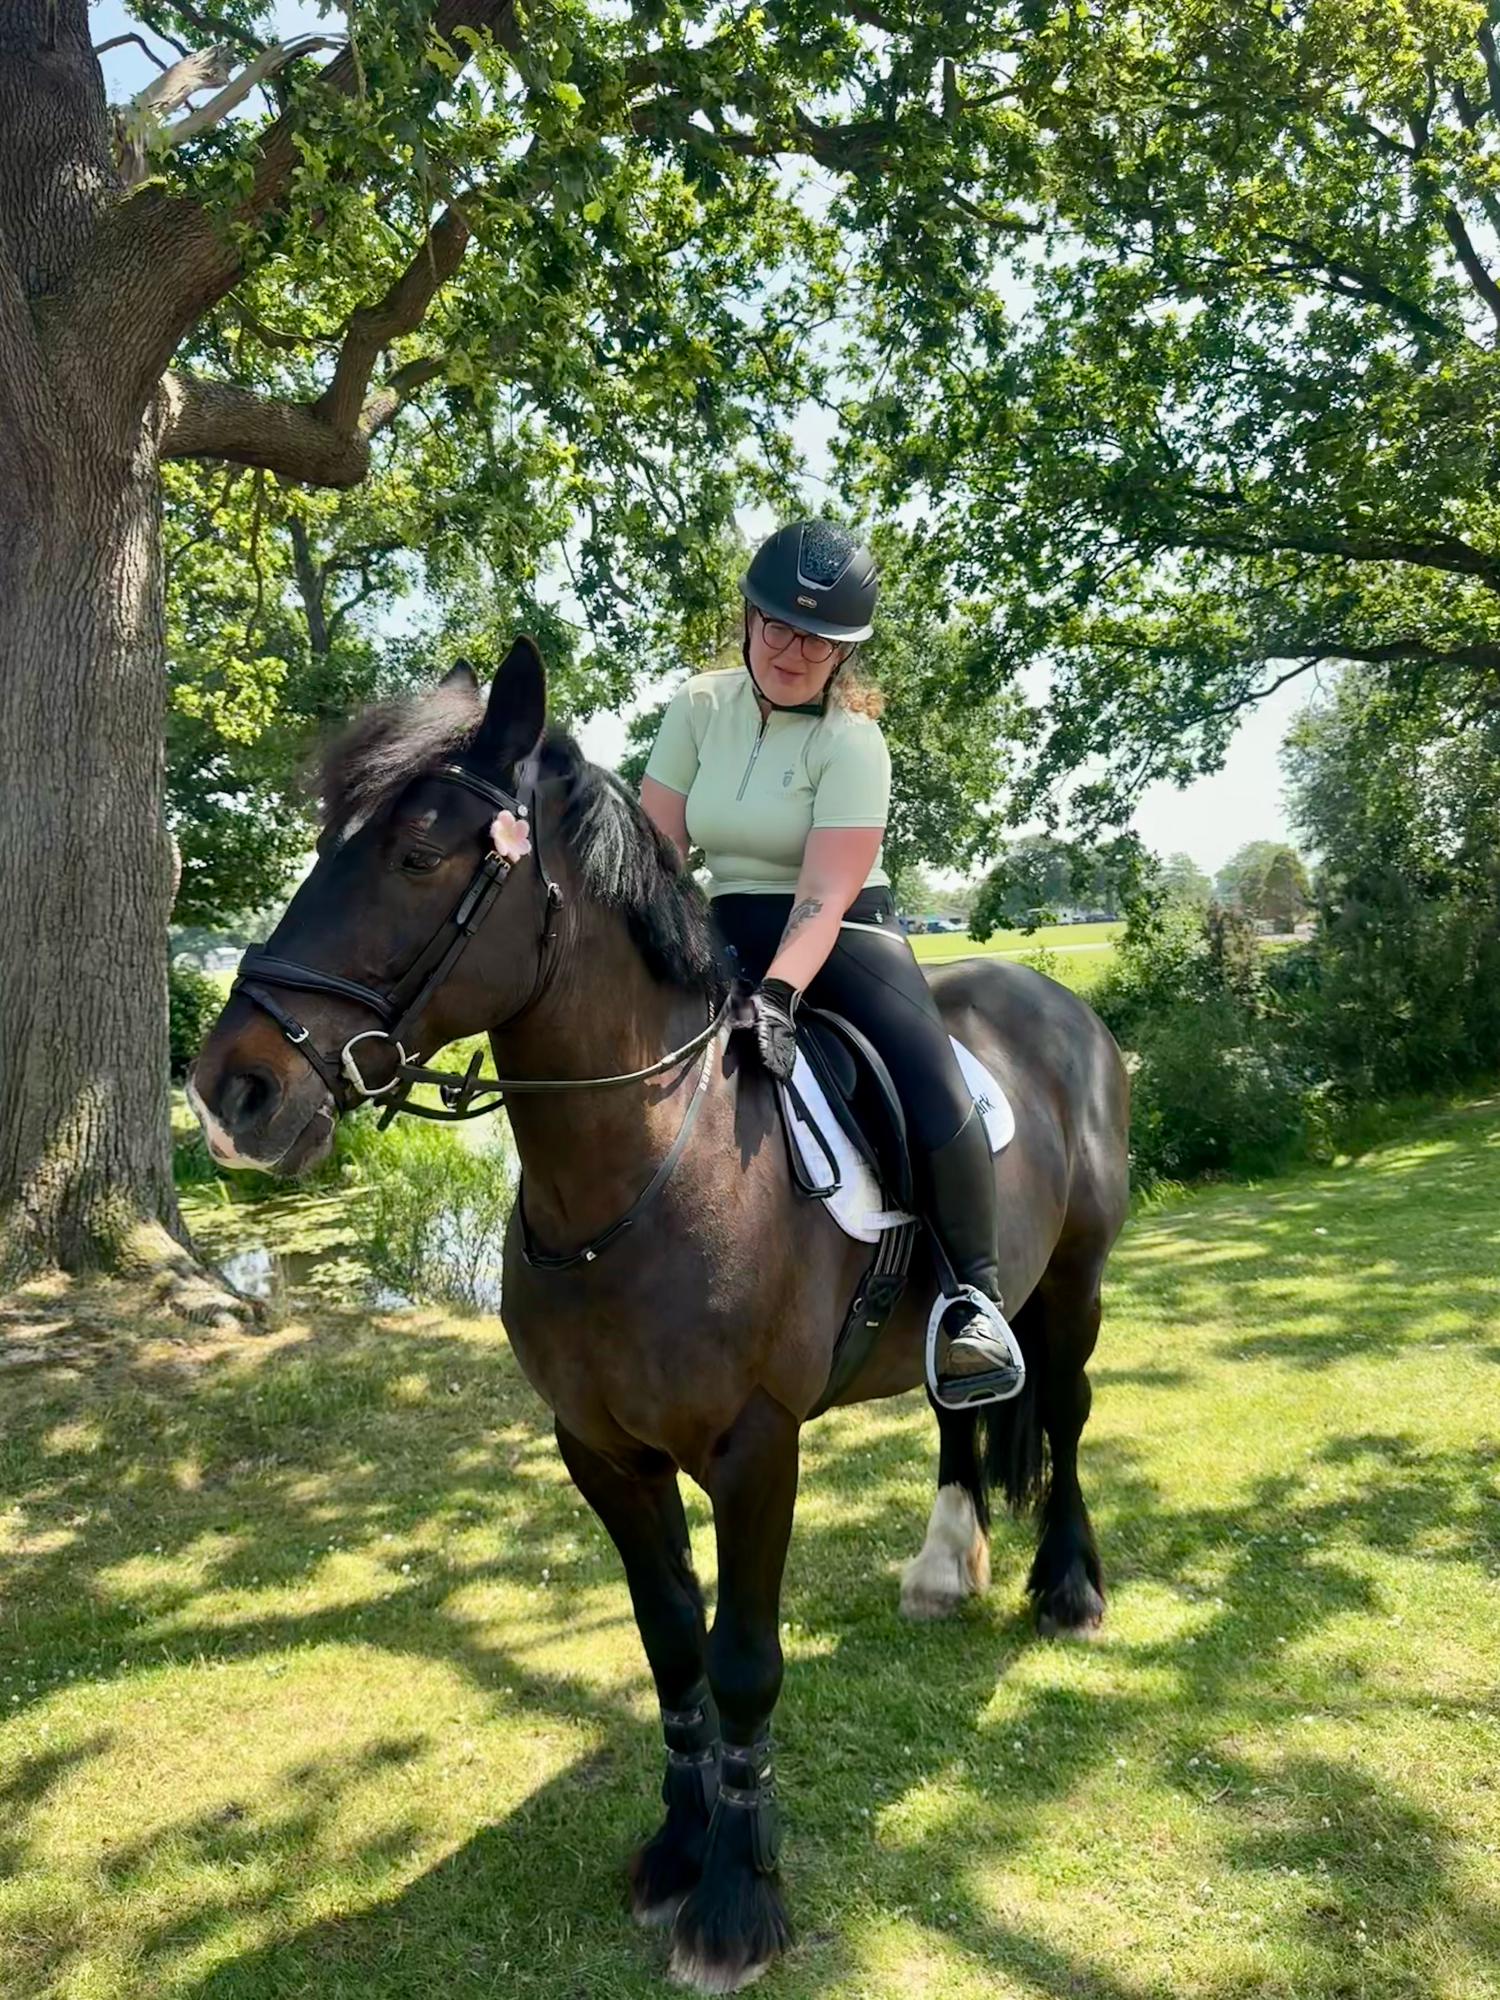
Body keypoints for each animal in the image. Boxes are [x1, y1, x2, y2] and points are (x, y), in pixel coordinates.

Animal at [189, 638, 1130, 1993]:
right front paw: (680, 1846)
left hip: (1076, 1283)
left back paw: (1067, 1588)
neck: (647, 1168)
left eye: (418, 852)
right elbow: (671, 1641)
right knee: (964, 1405)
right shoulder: (600, 1449)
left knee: (1062, 1414)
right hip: (978, 1308)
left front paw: (737, 1898)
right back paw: (946, 1566)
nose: (231, 1092)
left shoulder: (754, 1447)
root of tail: (1061, 1003)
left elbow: (741, 1659)